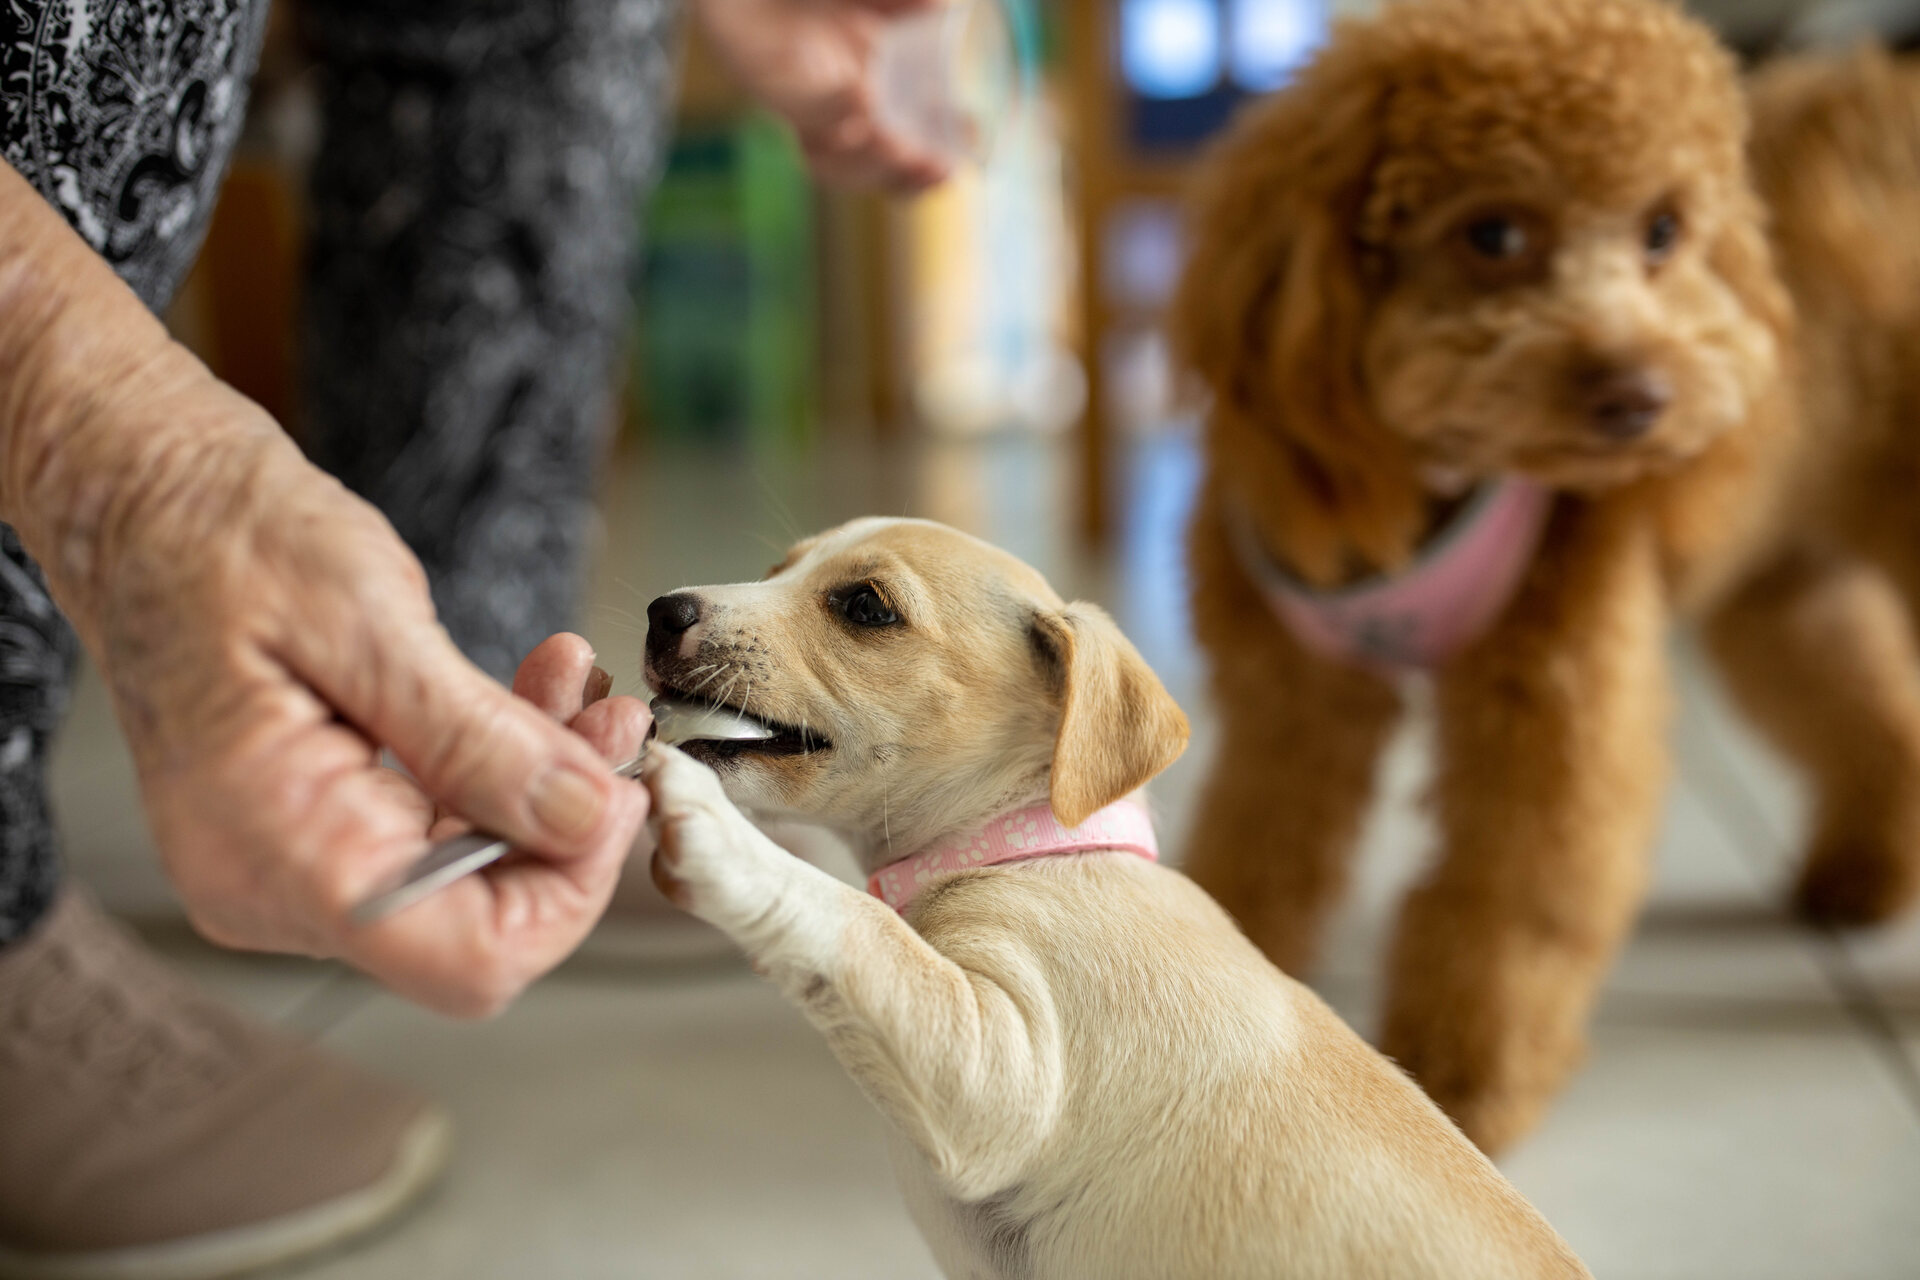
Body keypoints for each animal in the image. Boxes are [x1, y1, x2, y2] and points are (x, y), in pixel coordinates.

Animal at [637, 518, 1582, 1280]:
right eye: (779, 568)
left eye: (865, 607)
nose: (661, 611)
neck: (1029, 848)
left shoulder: (1000, 1078)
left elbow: (858, 923)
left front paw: (712, 826)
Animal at [1159, 0, 1920, 1159]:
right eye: (1494, 235)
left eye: (1662, 230)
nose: (1639, 399)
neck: (1427, 474)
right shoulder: (1294, 698)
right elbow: (1263, 841)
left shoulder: (1555, 693)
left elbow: (1519, 881)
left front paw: (1464, 1076)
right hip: (1779, 585)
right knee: (1863, 702)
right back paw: (1864, 873)